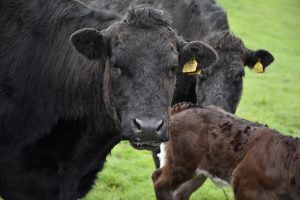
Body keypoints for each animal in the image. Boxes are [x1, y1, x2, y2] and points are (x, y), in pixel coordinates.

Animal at [152, 103, 300, 200]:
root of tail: (187, 106)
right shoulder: (245, 185)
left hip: (199, 169)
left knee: (180, 192)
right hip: (182, 163)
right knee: (158, 180)